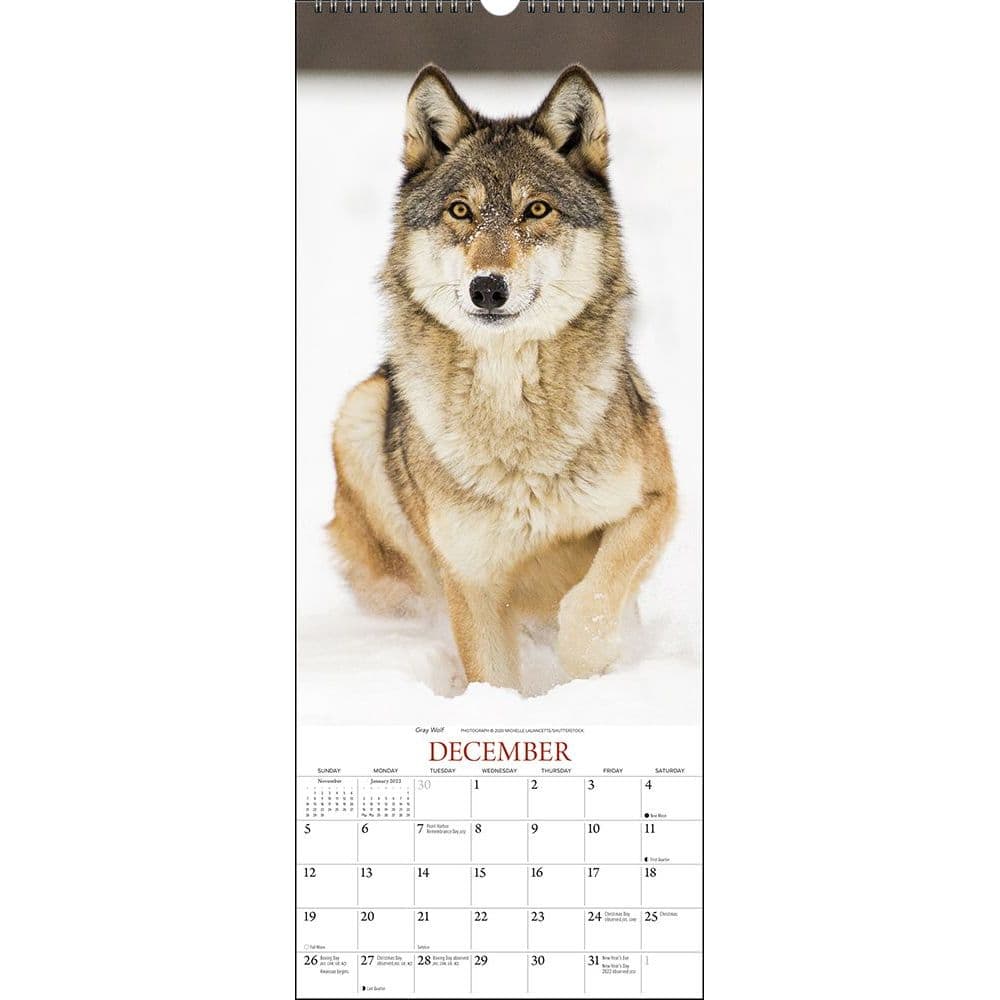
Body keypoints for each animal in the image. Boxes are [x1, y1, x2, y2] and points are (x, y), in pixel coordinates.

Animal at [328, 65, 677, 689]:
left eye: (536, 210)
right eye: (460, 212)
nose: (487, 288)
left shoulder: (659, 501)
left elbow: (590, 600)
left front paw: (589, 666)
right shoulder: (471, 581)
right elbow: (492, 681)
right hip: (360, 414)